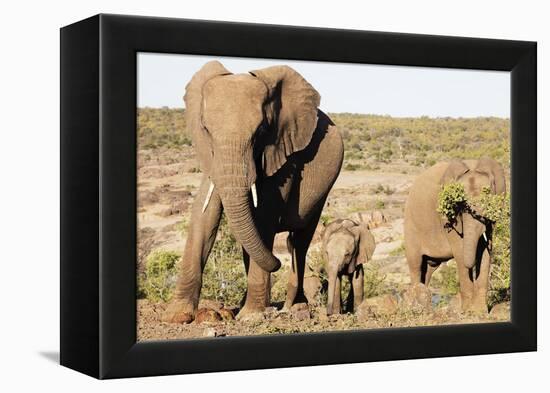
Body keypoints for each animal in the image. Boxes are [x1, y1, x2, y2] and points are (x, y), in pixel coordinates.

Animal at [164, 61, 344, 322]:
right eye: (206, 129)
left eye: (260, 131)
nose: (277, 262)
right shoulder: (212, 157)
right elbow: (203, 216)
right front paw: (177, 315)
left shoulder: (282, 152)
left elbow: (265, 215)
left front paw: (251, 316)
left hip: (324, 189)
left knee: (300, 241)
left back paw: (294, 306)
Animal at [406, 156, 508, 312]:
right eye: (459, 203)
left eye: (487, 201)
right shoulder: (447, 217)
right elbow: (460, 251)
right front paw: (467, 312)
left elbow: (486, 251)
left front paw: (480, 312)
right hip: (411, 227)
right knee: (416, 265)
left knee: (428, 268)